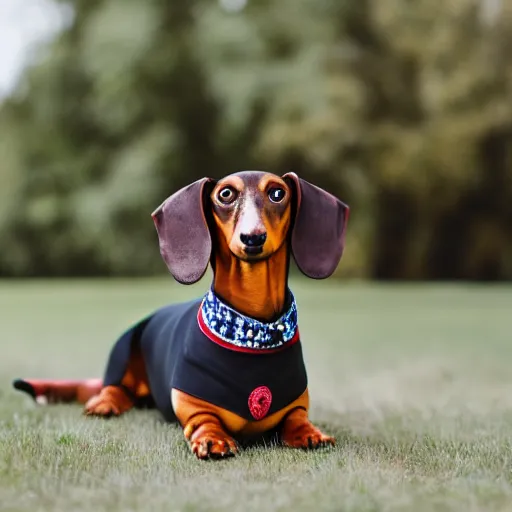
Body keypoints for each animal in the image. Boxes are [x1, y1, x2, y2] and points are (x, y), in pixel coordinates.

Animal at [13, 172, 348, 460]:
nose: (252, 238)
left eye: (278, 193)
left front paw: (310, 433)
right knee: (115, 387)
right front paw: (213, 438)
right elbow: (204, 419)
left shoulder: (296, 405)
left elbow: (296, 418)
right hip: (125, 346)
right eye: (225, 194)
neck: (252, 329)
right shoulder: (190, 403)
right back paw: (106, 403)